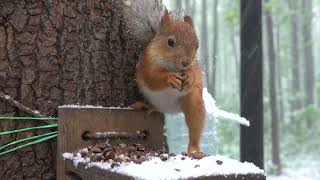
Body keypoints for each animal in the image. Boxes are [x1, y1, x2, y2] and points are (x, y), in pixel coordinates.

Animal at [124, 2, 206, 158]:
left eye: (197, 44)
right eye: (170, 41)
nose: (186, 63)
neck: (172, 67)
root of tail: (170, 110)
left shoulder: (195, 67)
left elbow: (196, 77)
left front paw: (190, 78)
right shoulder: (147, 64)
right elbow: (152, 77)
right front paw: (170, 78)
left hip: (193, 103)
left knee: (195, 125)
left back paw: (194, 150)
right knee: (154, 106)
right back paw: (143, 106)